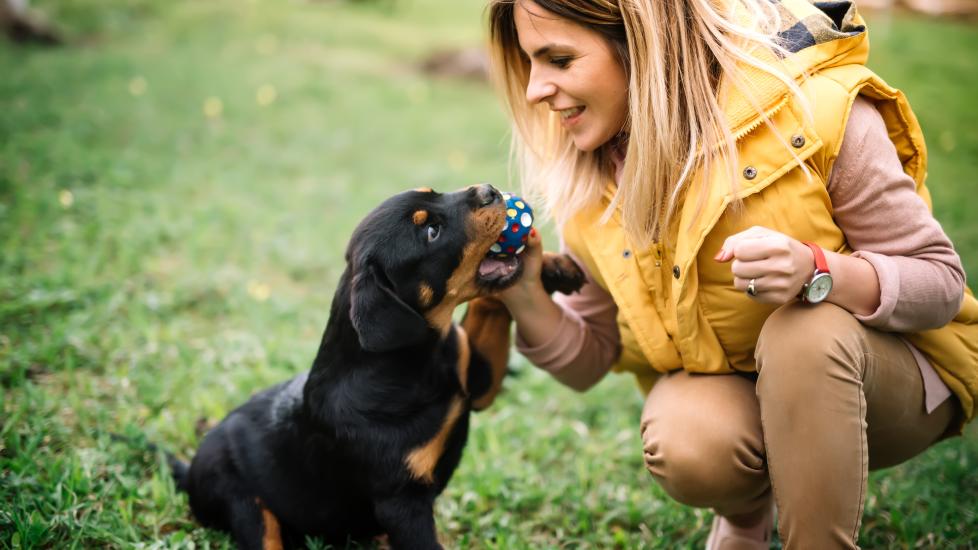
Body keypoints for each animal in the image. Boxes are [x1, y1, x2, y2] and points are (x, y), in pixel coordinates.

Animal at [173, 187, 584, 550]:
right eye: (431, 232)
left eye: (434, 193)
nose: (491, 191)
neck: (417, 360)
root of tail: (189, 471)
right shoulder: (402, 502)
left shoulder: (477, 380)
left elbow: (491, 303)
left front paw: (551, 267)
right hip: (241, 500)